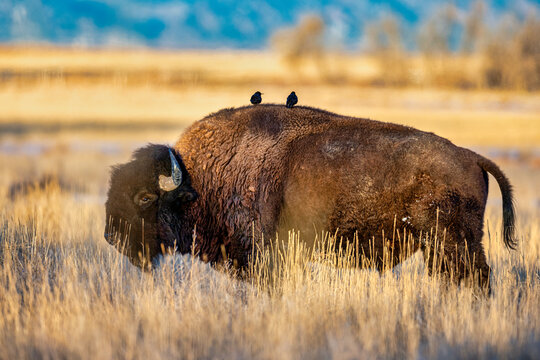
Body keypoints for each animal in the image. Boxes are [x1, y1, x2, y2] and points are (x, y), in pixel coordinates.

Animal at [104, 104, 516, 290]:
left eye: (145, 198)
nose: (111, 237)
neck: (199, 179)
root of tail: (470, 156)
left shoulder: (266, 256)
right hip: (441, 247)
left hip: (453, 242)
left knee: (476, 277)